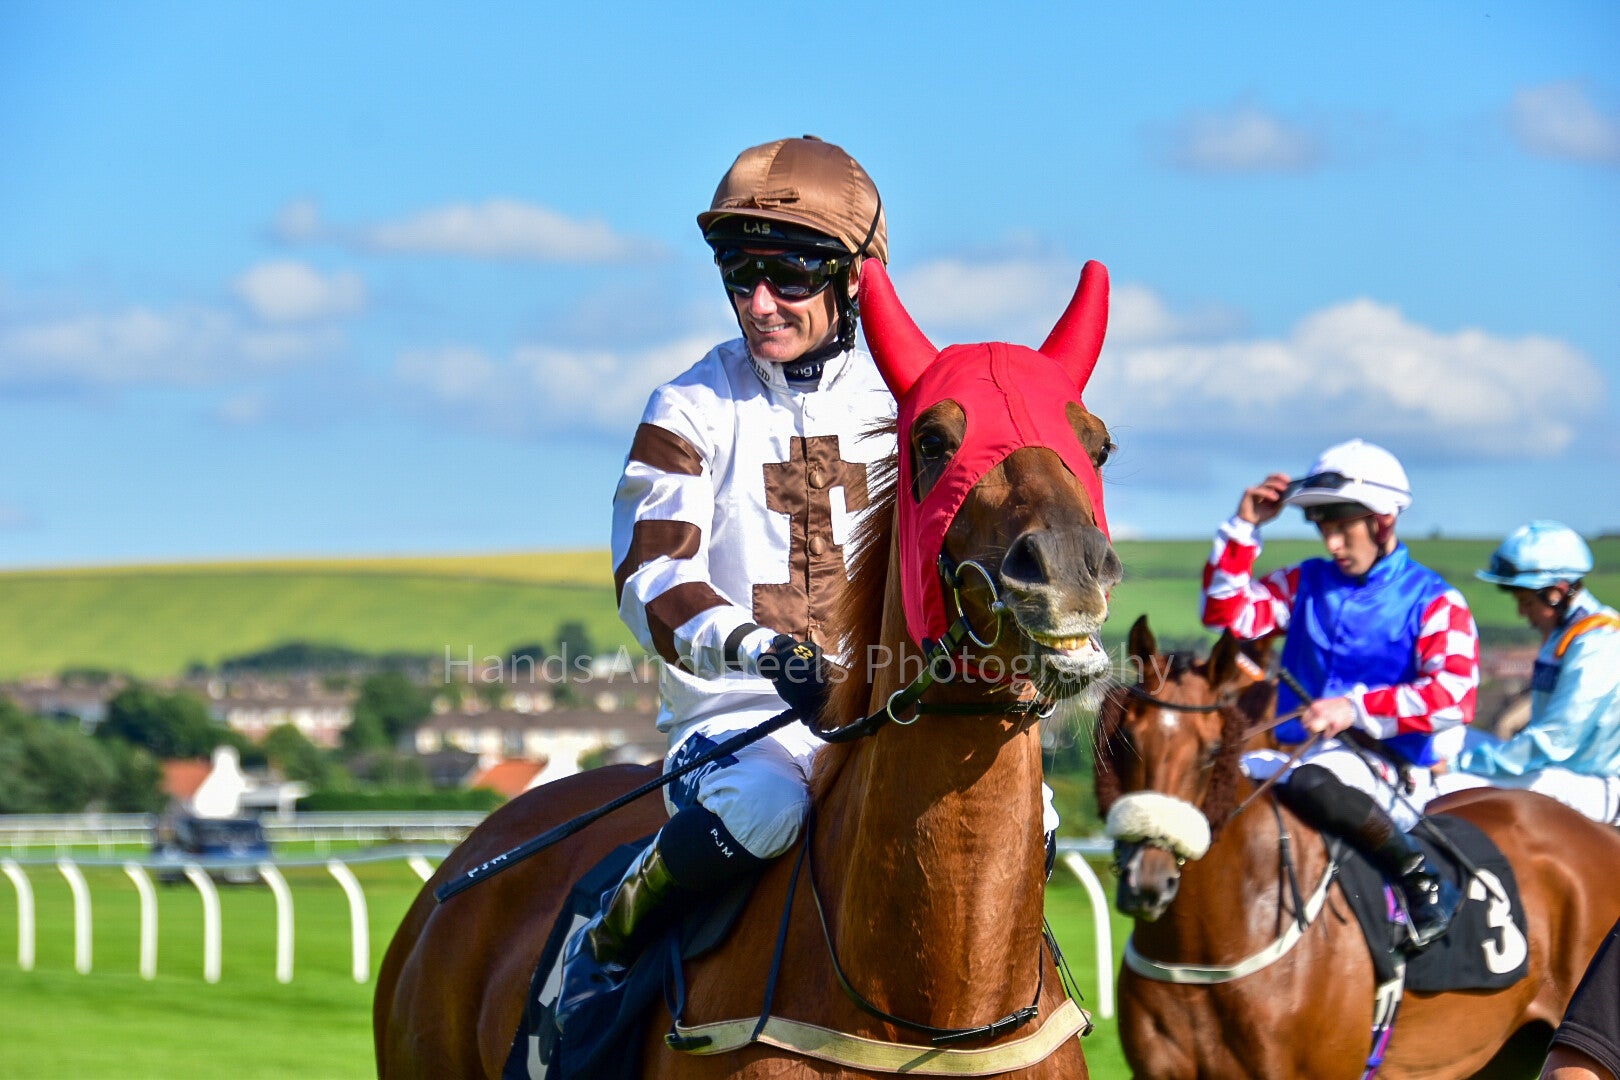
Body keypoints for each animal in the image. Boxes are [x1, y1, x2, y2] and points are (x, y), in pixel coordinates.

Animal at [375, 258, 1121, 1078]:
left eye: (1098, 445)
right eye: (932, 440)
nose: (1068, 572)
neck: (932, 1017)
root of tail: (457, 870)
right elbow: (654, 565)